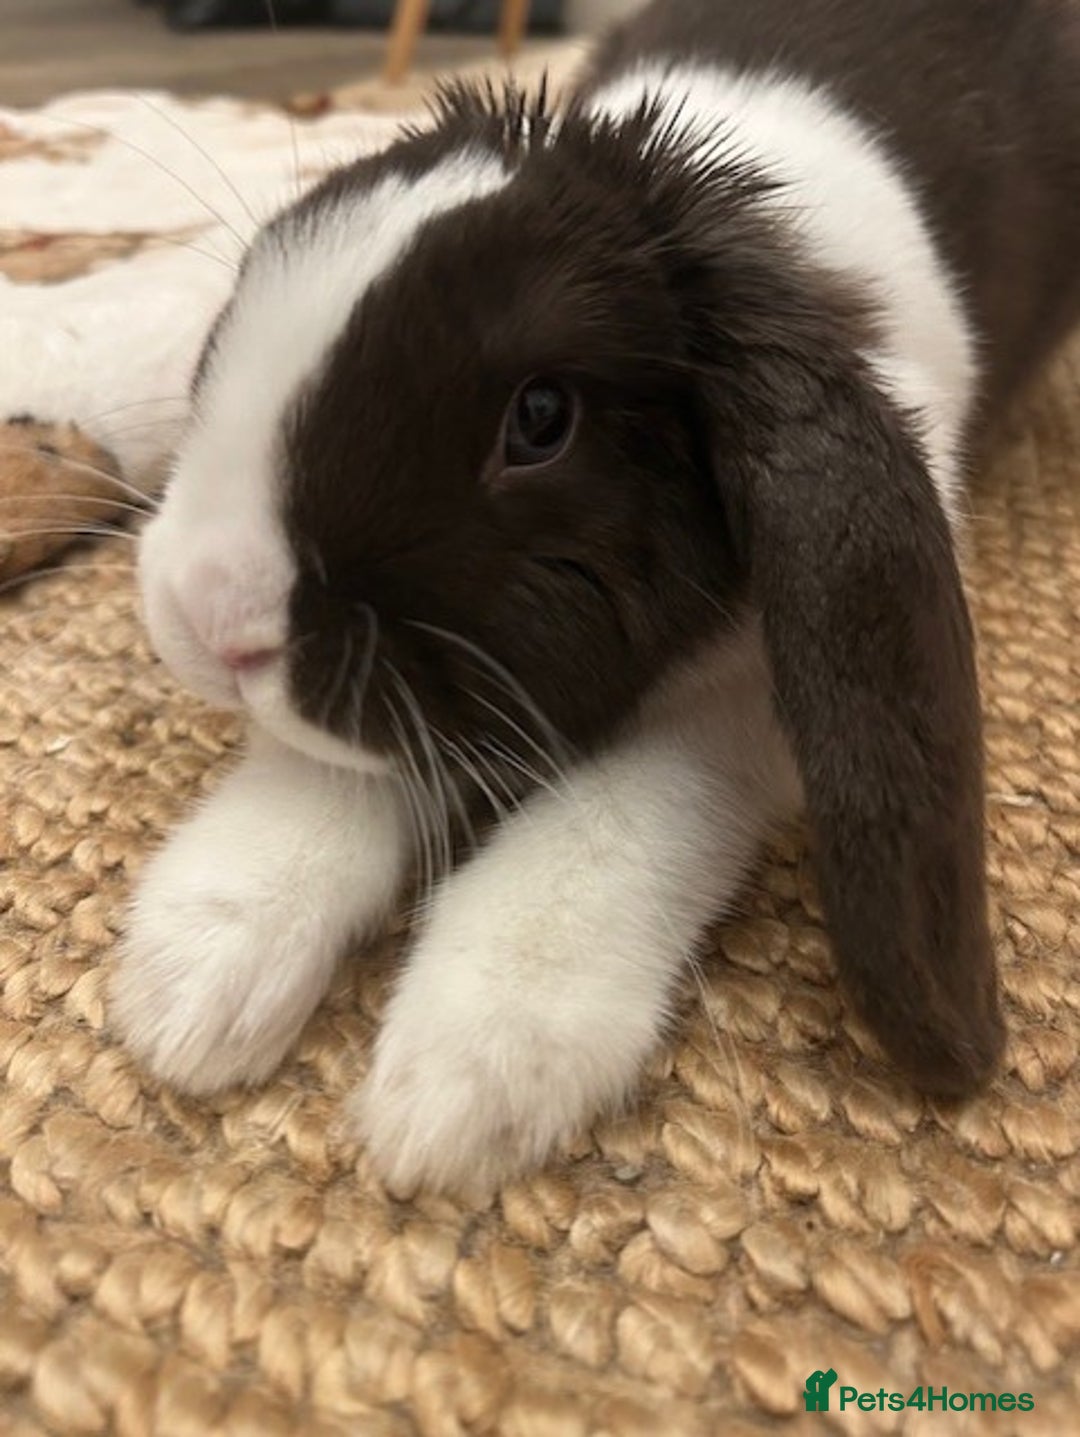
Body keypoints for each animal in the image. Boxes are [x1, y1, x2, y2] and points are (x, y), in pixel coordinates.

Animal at [110, 0, 1080, 1196]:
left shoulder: (737, 701)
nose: (211, 619)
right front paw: (193, 979)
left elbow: (612, 823)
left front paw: (465, 1083)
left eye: (540, 421)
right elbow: (335, 770)